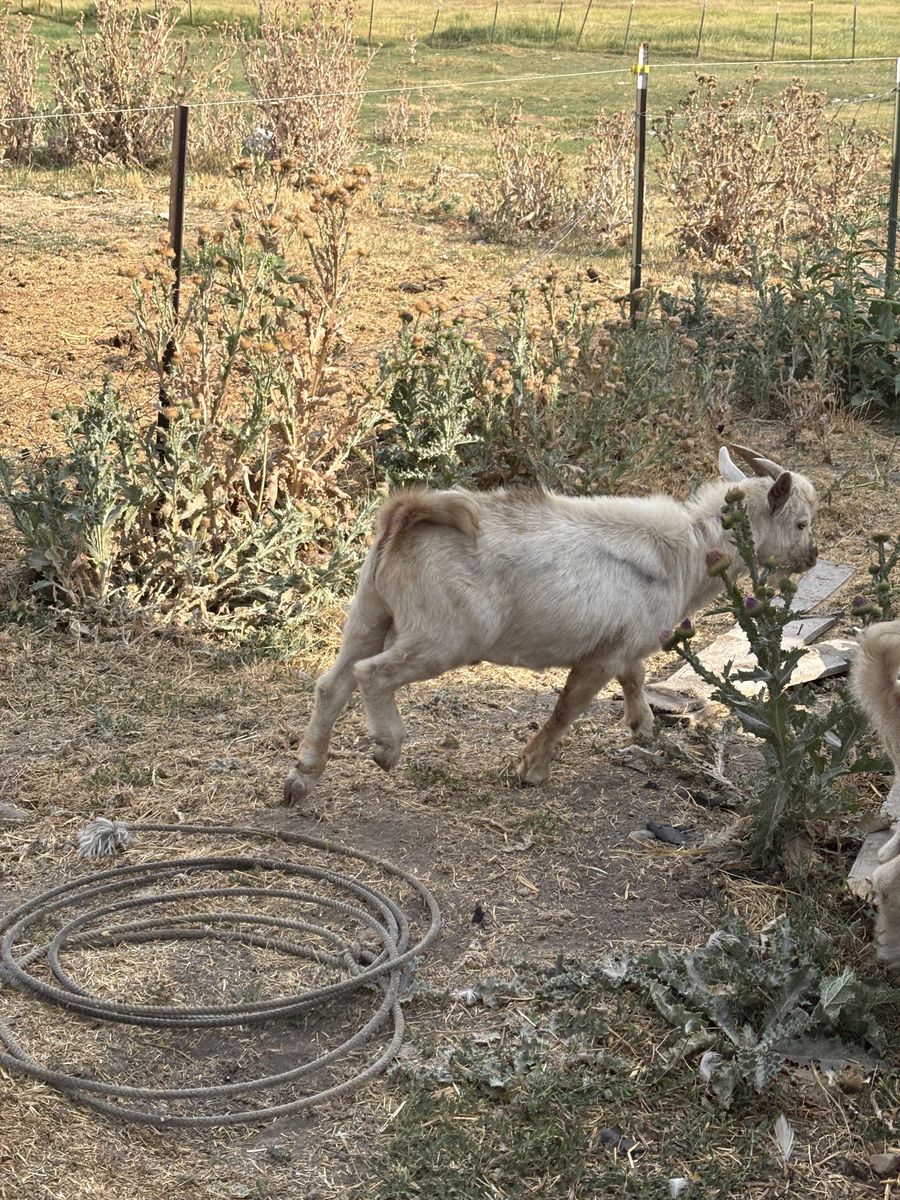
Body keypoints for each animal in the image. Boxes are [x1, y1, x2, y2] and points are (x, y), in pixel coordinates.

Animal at [284, 444, 818, 803]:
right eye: (801, 523)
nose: (812, 558)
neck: (688, 550)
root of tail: (407, 513)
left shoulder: (624, 643)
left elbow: (635, 676)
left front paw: (643, 727)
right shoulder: (601, 655)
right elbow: (568, 707)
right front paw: (531, 769)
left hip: (369, 611)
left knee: (331, 684)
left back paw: (302, 777)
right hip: (442, 637)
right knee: (370, 674)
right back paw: (386, 748)